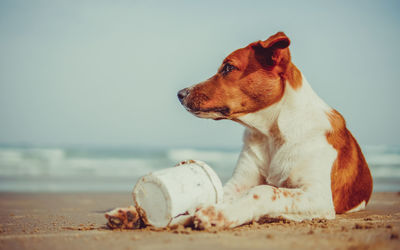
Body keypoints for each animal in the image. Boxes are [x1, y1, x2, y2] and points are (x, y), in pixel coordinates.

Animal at [177, 30, 374, 229]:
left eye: (228, 67)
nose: (180, 94)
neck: (271, 134)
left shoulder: (318, 196)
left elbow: (265, 191)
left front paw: (219, 213)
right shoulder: (238, 183)